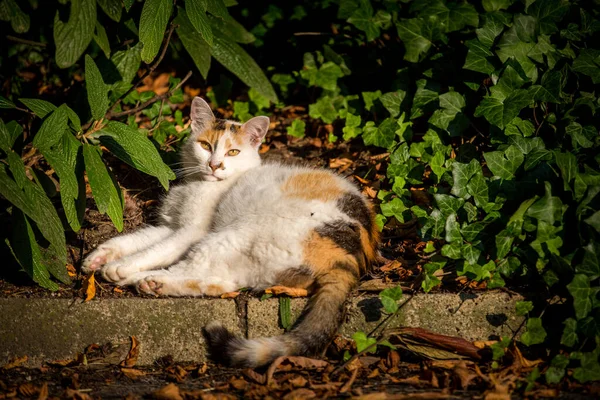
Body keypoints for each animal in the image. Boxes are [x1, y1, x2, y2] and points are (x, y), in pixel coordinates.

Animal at [81, 96, 380, 366]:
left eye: (233, 152)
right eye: (205, 145)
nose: (214, 165)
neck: (198, 183)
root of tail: (350, 257)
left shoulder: (190, 233)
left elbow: (153, 251)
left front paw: (120, 266)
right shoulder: (170, 226)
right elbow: (136, 240)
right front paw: (98, 258)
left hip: (232, 234)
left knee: (192, 269)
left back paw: (143, 279)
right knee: (221, 283)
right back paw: (149, 283)